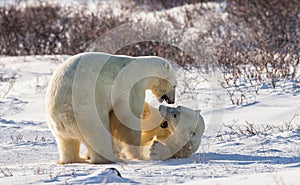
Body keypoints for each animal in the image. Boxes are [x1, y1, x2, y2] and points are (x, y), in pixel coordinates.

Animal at [44, 51, 176, 163]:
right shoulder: (131, 87)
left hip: (57, 123)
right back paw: (111, 158)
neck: (141, 70)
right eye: (174, 86)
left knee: (66, 142)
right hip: (85, 110)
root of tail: (62, 117)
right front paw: (139, 155)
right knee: (98, 134)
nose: (172, 101)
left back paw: (75, 159)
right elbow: (127, 118)